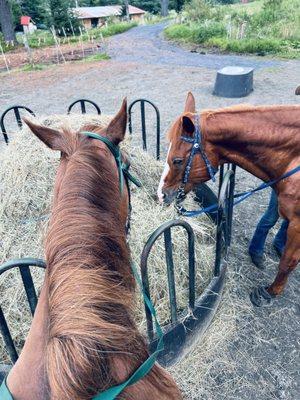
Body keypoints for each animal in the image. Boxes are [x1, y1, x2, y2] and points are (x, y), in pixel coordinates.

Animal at [158, 93, 298, 306]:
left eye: (177, 160)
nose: (161, 194)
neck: (294, 160)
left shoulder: (297, 223)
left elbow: (287, 263)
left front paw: (269, 292)